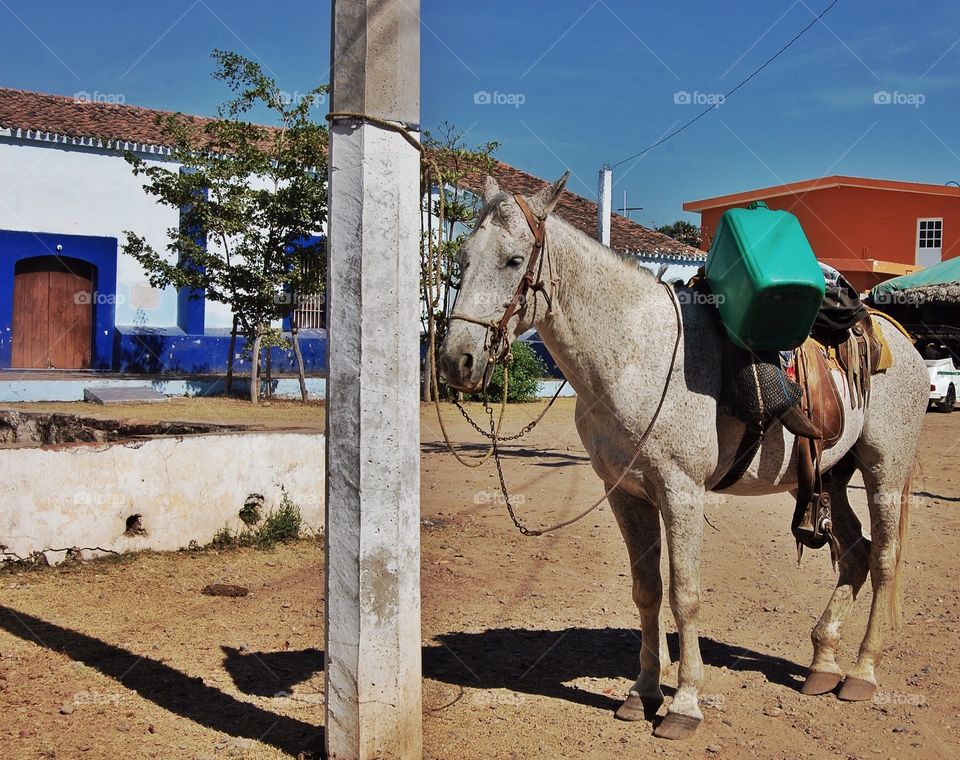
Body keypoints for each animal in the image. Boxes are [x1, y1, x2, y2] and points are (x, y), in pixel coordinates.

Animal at [438, 173, 929, 740]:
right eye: (462, 258)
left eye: (515, 260)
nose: (456, 360)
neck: (636, 357)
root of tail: (896, 335)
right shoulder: (626, 494)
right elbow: (647, 591)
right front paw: (643, 692)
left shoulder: (681, 493)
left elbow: (685, 595)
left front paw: (685, 703)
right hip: (831, 474)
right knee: (853, 553)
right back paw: (823, 664)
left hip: (883, 470)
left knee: (885, 558)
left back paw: (862, 673)